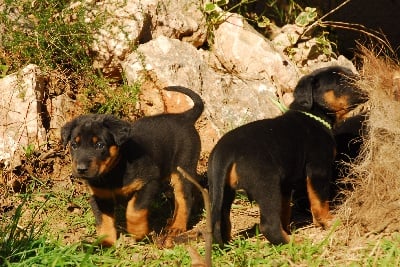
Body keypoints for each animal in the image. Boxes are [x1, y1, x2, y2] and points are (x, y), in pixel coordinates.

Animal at [61, 87, 205, 248]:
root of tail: (184, 117)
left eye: (99, 145)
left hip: (184, 166)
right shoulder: (99, 196)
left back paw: (176, 227)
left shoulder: (149, 181)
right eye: (74, 145)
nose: (81, 169)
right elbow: (103, 222)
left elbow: (134, 210)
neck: (113, 171)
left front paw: (138, 232)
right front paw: (105, 244)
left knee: (184, 197)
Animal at [208, 66, 368, 246]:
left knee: (222, 218)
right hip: (266, 184)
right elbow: (320, 200)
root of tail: (226, 150)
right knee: (268, 224)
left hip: (220, 187)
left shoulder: (285, 184)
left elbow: (285, 211)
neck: (313, 115)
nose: (366, 80)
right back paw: (293, 242)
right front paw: (328, 221)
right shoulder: (318, 169)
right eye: (342, 81)